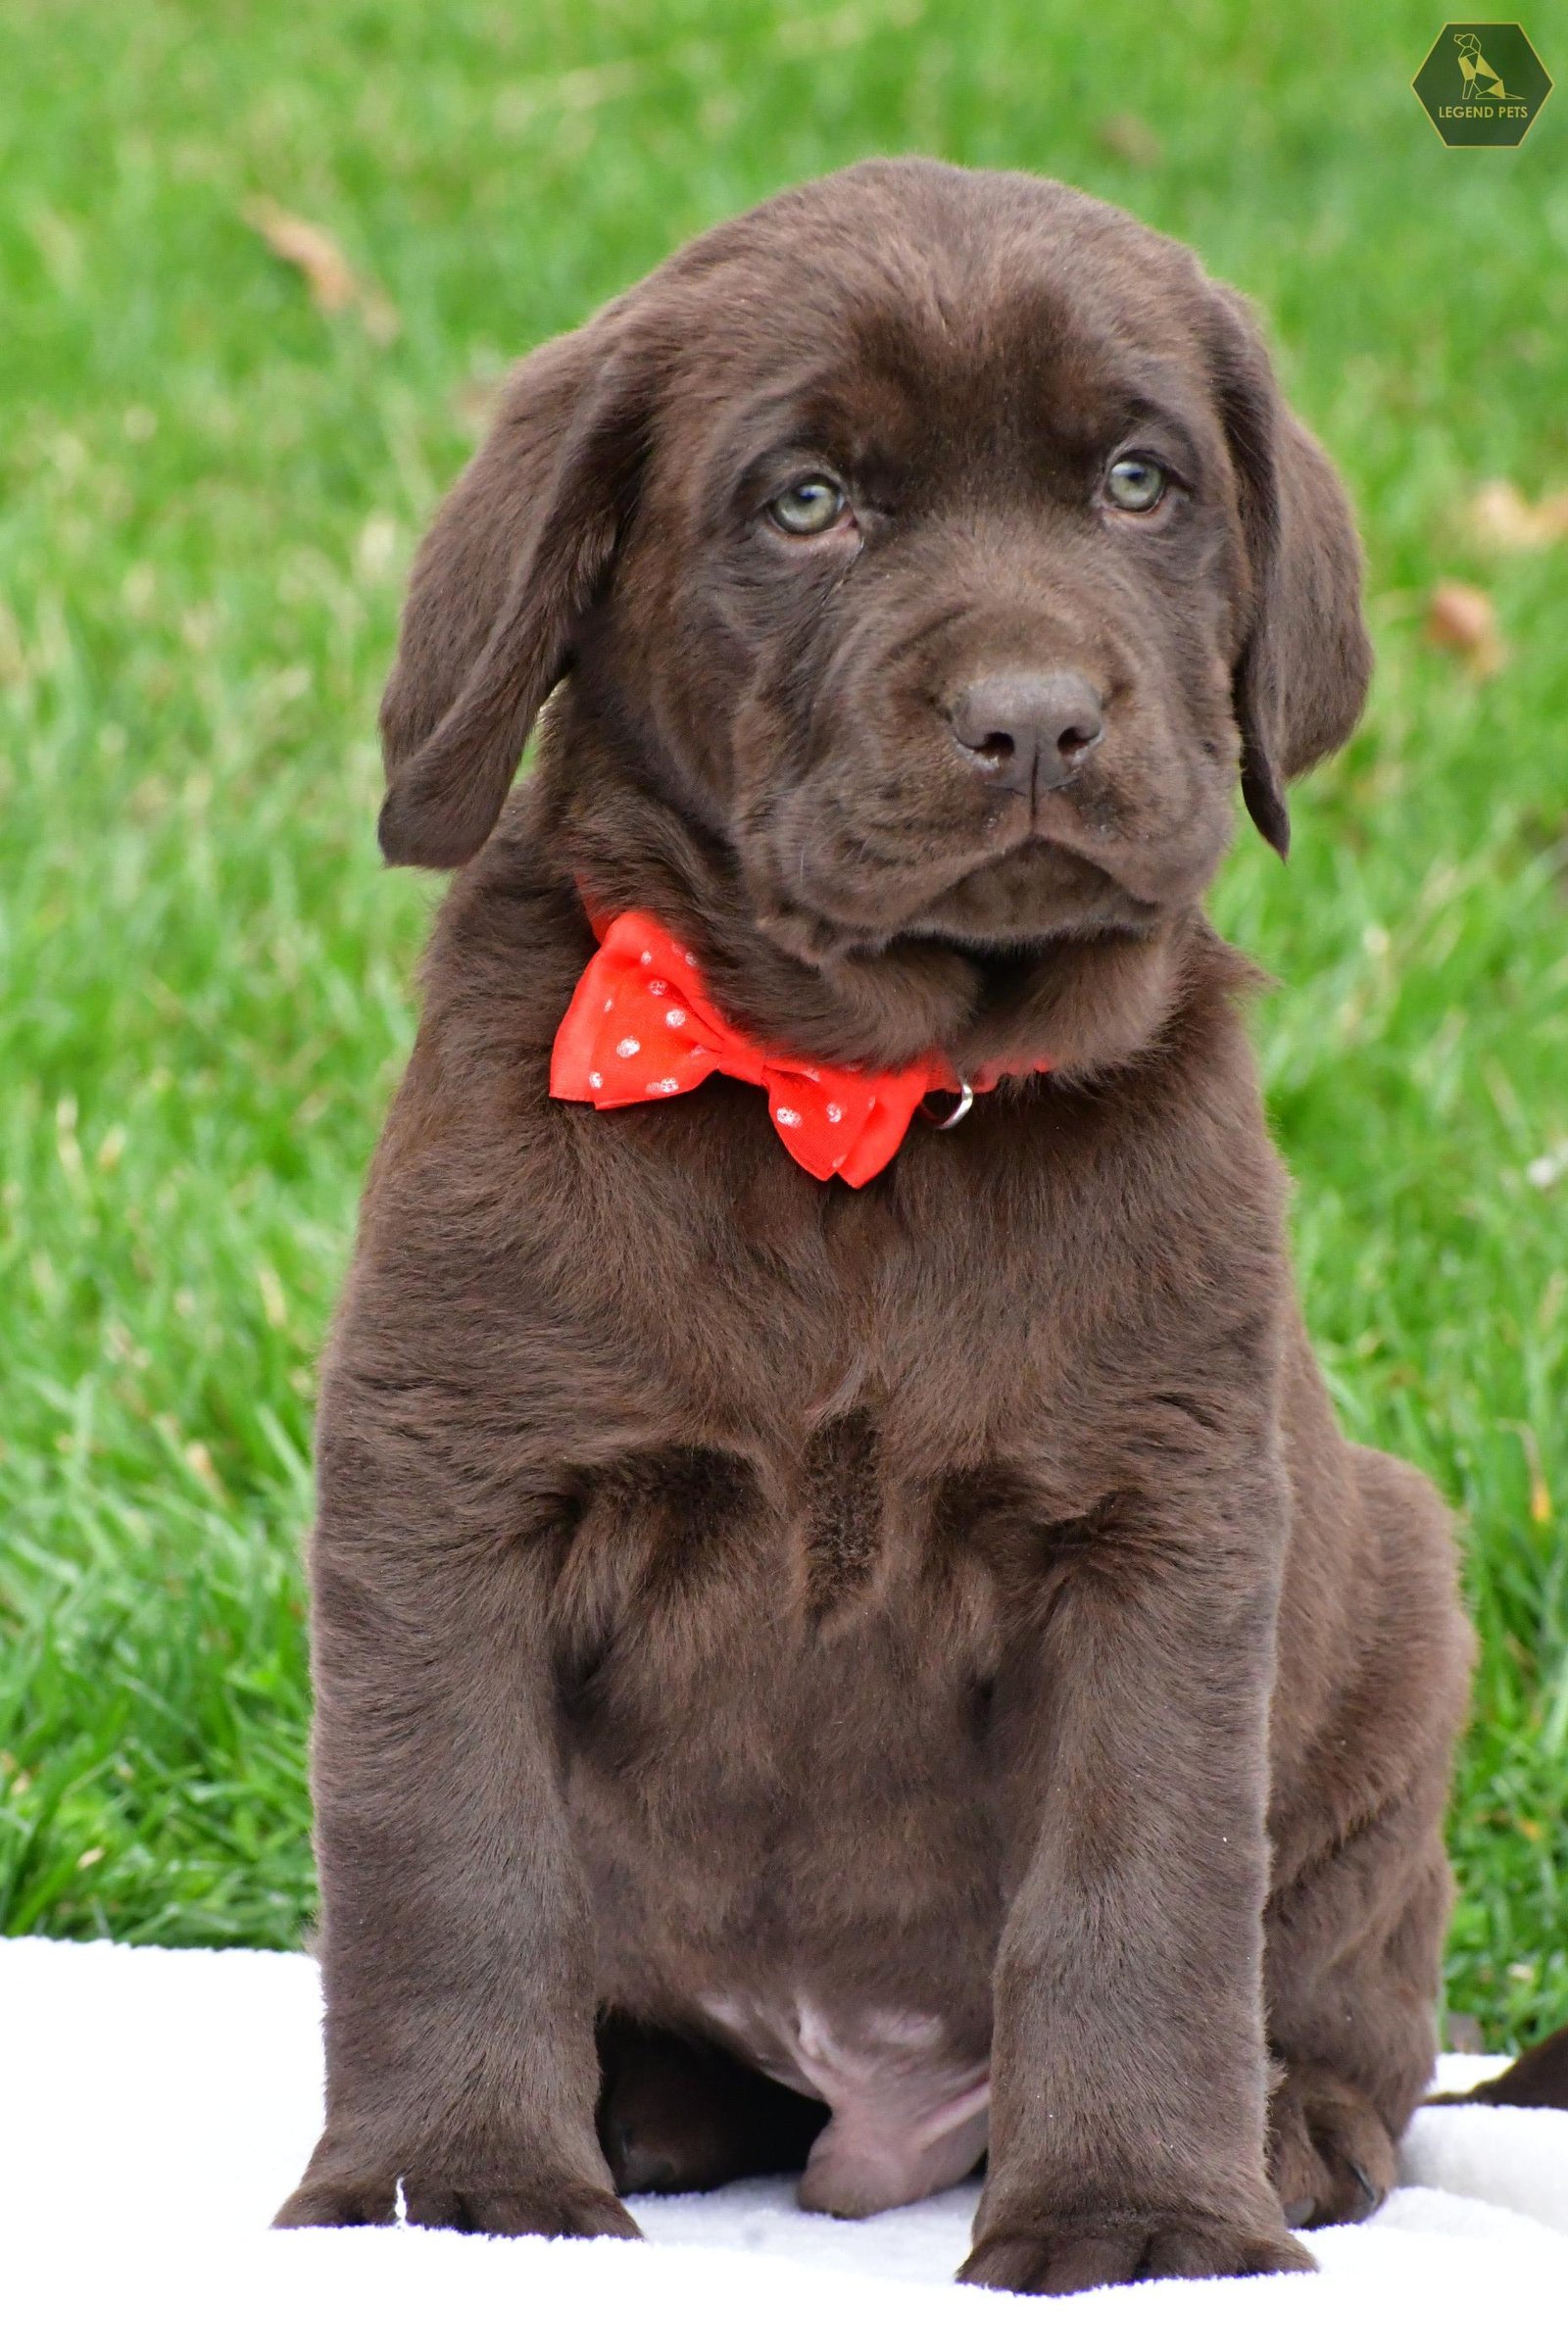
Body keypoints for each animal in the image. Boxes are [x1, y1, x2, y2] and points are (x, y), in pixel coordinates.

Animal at [275, 159, 1480, 2292]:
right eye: (806, 502)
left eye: (1139, 483)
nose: (1035, 723)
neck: (862, 1111)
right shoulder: (448, 1487)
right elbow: (446, 1858)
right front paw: (454, 2187)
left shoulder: (1161, 1522)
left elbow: (1139, 1888)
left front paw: (1143, 2217)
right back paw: (641, 2108)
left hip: (1402, 1625)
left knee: (1354, 2004)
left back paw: (1282, 2129)